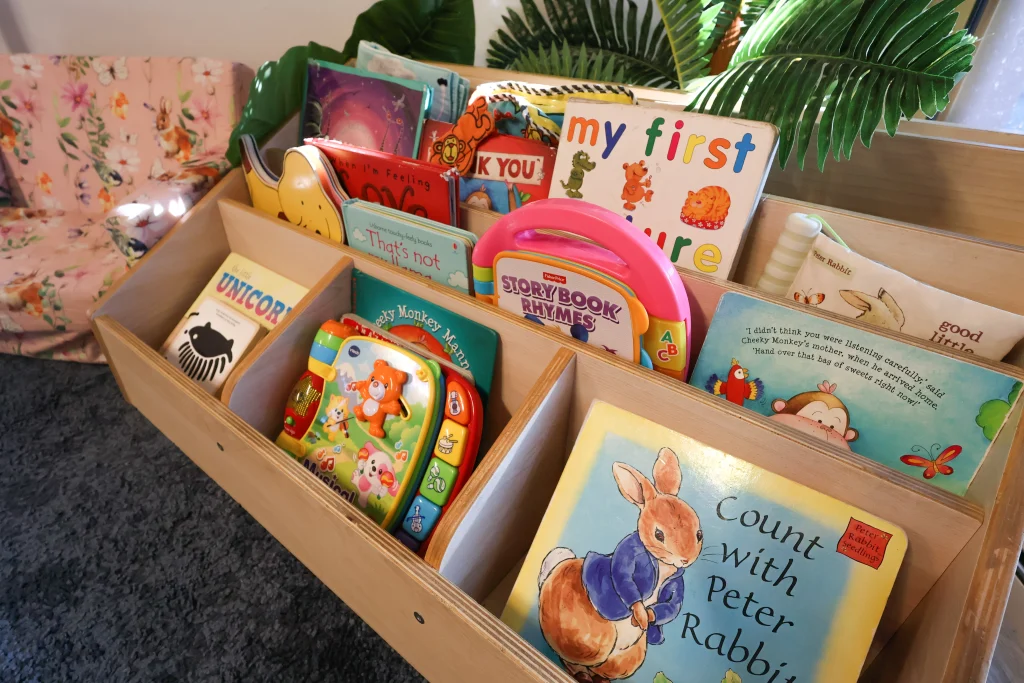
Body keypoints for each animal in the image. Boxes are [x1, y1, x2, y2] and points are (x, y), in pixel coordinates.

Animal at [536, 448, 704, 683]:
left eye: (699, 534)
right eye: (658, 534)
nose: (685, 559)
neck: (663, 566)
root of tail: (550, 576)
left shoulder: (676, 585)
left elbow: (672, 606)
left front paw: (648, 617)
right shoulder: (627, 555)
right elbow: (624, 581)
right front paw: (641, 614)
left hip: (627, 659)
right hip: (591, 643)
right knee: (571, 659)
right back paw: (579, 674)